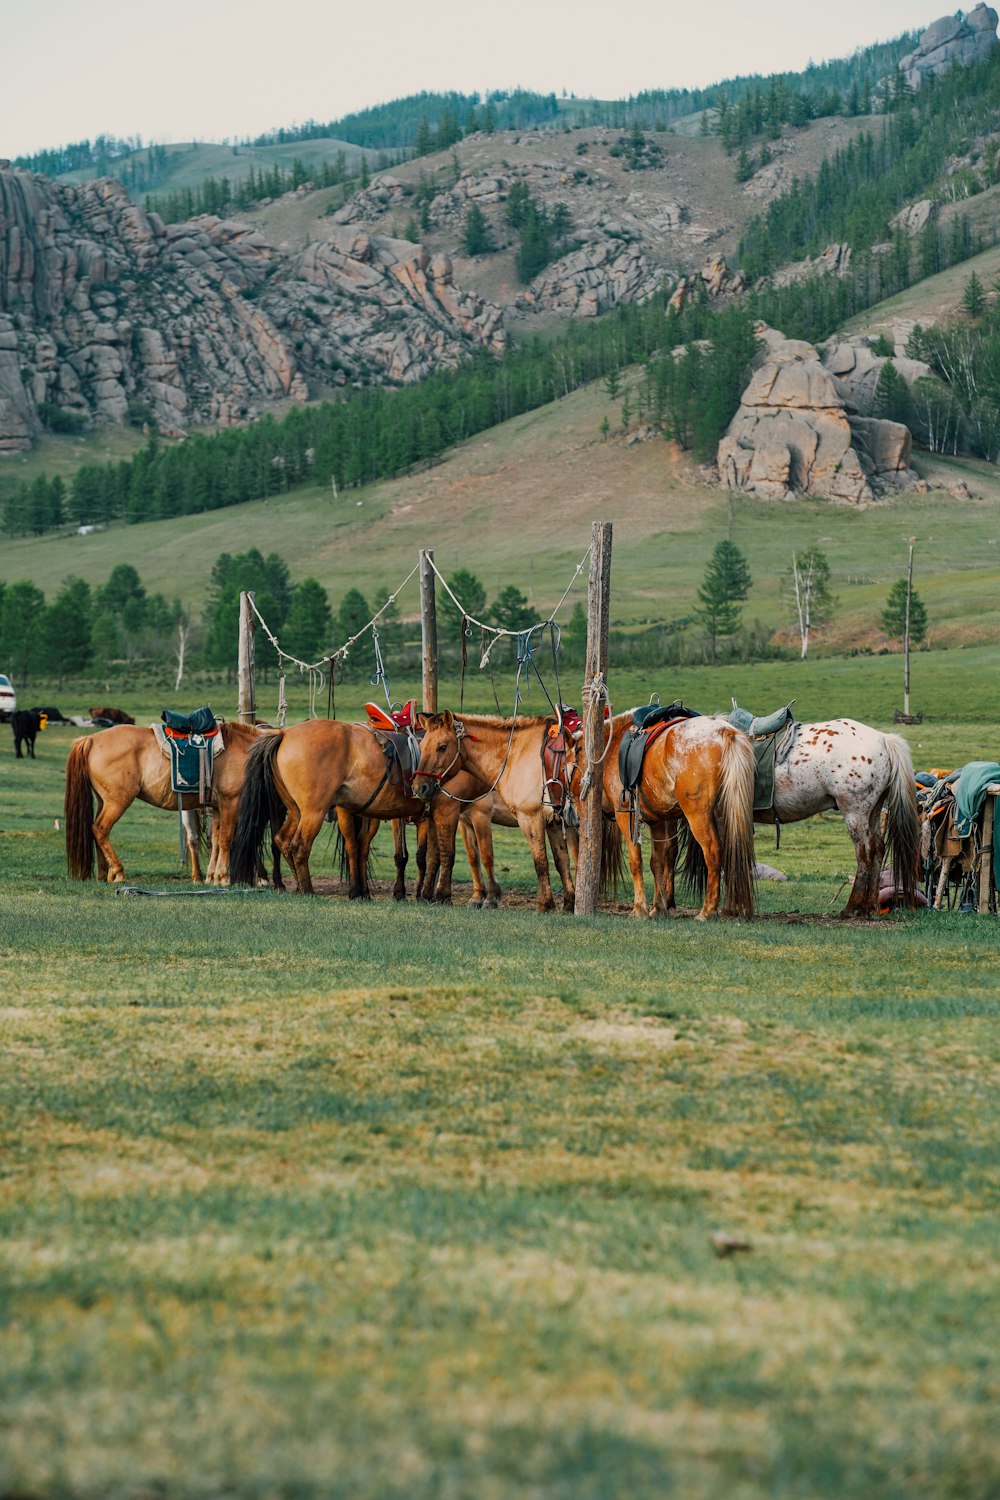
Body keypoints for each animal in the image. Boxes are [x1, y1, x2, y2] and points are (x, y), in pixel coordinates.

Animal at [65, 720, 277, 882]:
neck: (246, 749)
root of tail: (90, 739)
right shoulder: (230, 803)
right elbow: (226, 840)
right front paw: (223, 877)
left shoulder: (217, 808)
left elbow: (216, 842)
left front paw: (211, 877)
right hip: (118, 801)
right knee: (100, 829)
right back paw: (118, 872)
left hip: (104, 801)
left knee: (97, 832)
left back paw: (104, 874)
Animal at [410, 714, 614, 912]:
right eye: (421, 745)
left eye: (442, 747)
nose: (419, 787)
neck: (515, 756)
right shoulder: (553, 823)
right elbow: (560, 862)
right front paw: (568, 903)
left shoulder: (519, 819)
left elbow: (535, 862)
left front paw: (543, 904)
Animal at [566, 708, 755, 918]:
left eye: (565, 766)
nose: (569, 813)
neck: (610, 750)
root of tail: (724, 732)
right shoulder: (656, 822)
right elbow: (657, 862)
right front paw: (658, 907)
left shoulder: (626, 816)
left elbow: (636, 861)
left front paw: (639, 908)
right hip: (728, 814)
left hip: (698, 816)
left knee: (713, 852)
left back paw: (707, 911)